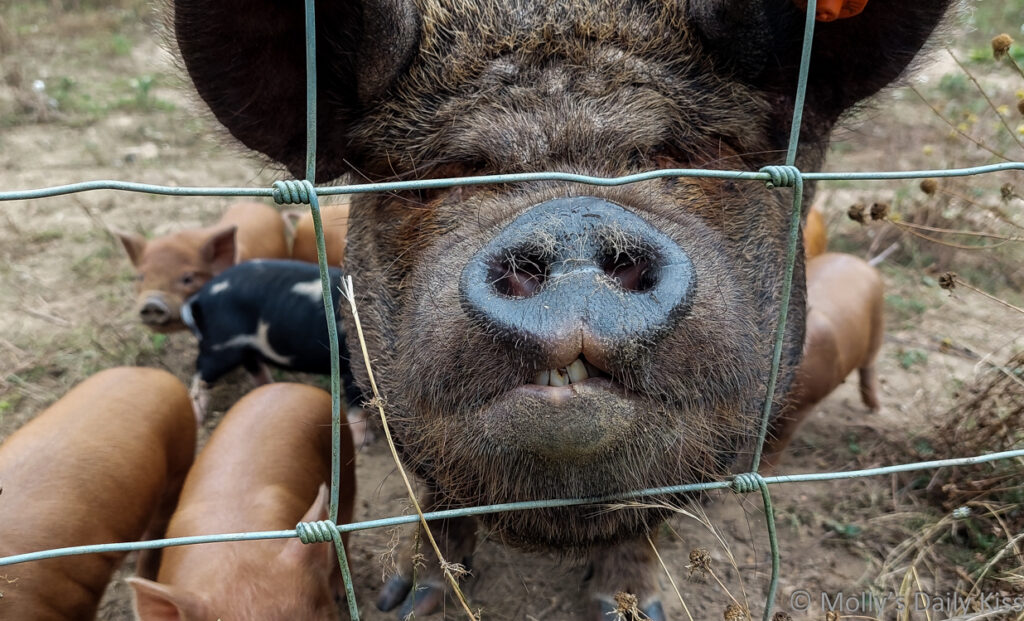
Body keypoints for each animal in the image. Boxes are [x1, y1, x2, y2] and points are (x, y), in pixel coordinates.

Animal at [180, 259, 367, 439]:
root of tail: (199, 297)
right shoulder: (352, 365)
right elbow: (356, 401)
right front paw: (361, 442)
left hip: (244, 348)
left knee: (253, 368)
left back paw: (268, 386)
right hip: (220, 346)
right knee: (200, 377)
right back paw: (198, 421)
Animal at [762, 252, 884, 470]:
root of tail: (859, 261)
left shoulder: (802, 405)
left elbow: (776, 442)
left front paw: (763, 472)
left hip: (877, 327)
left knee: (868, 369)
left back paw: (876, 409)